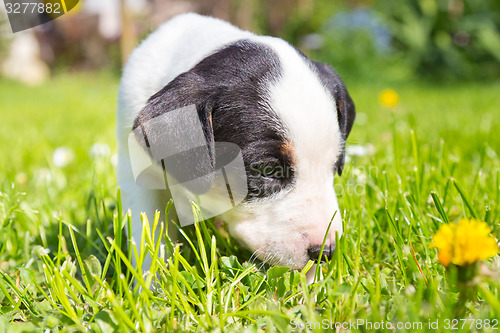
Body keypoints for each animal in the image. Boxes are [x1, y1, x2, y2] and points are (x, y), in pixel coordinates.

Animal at [115, 12, 354, 272]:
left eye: (334, 167)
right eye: (267, 169)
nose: (326, 253)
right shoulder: (138, 173)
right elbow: (148, 233)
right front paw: (153, 278)